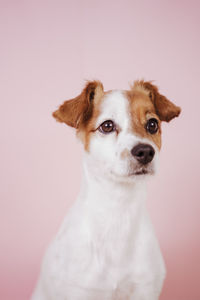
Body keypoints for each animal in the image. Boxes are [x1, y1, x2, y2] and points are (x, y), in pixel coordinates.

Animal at [31, 80, 181, 300]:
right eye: (107, 126)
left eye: (152, 124)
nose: (145, 151)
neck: (119, 210)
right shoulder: (80, 290)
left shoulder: (145, 288)